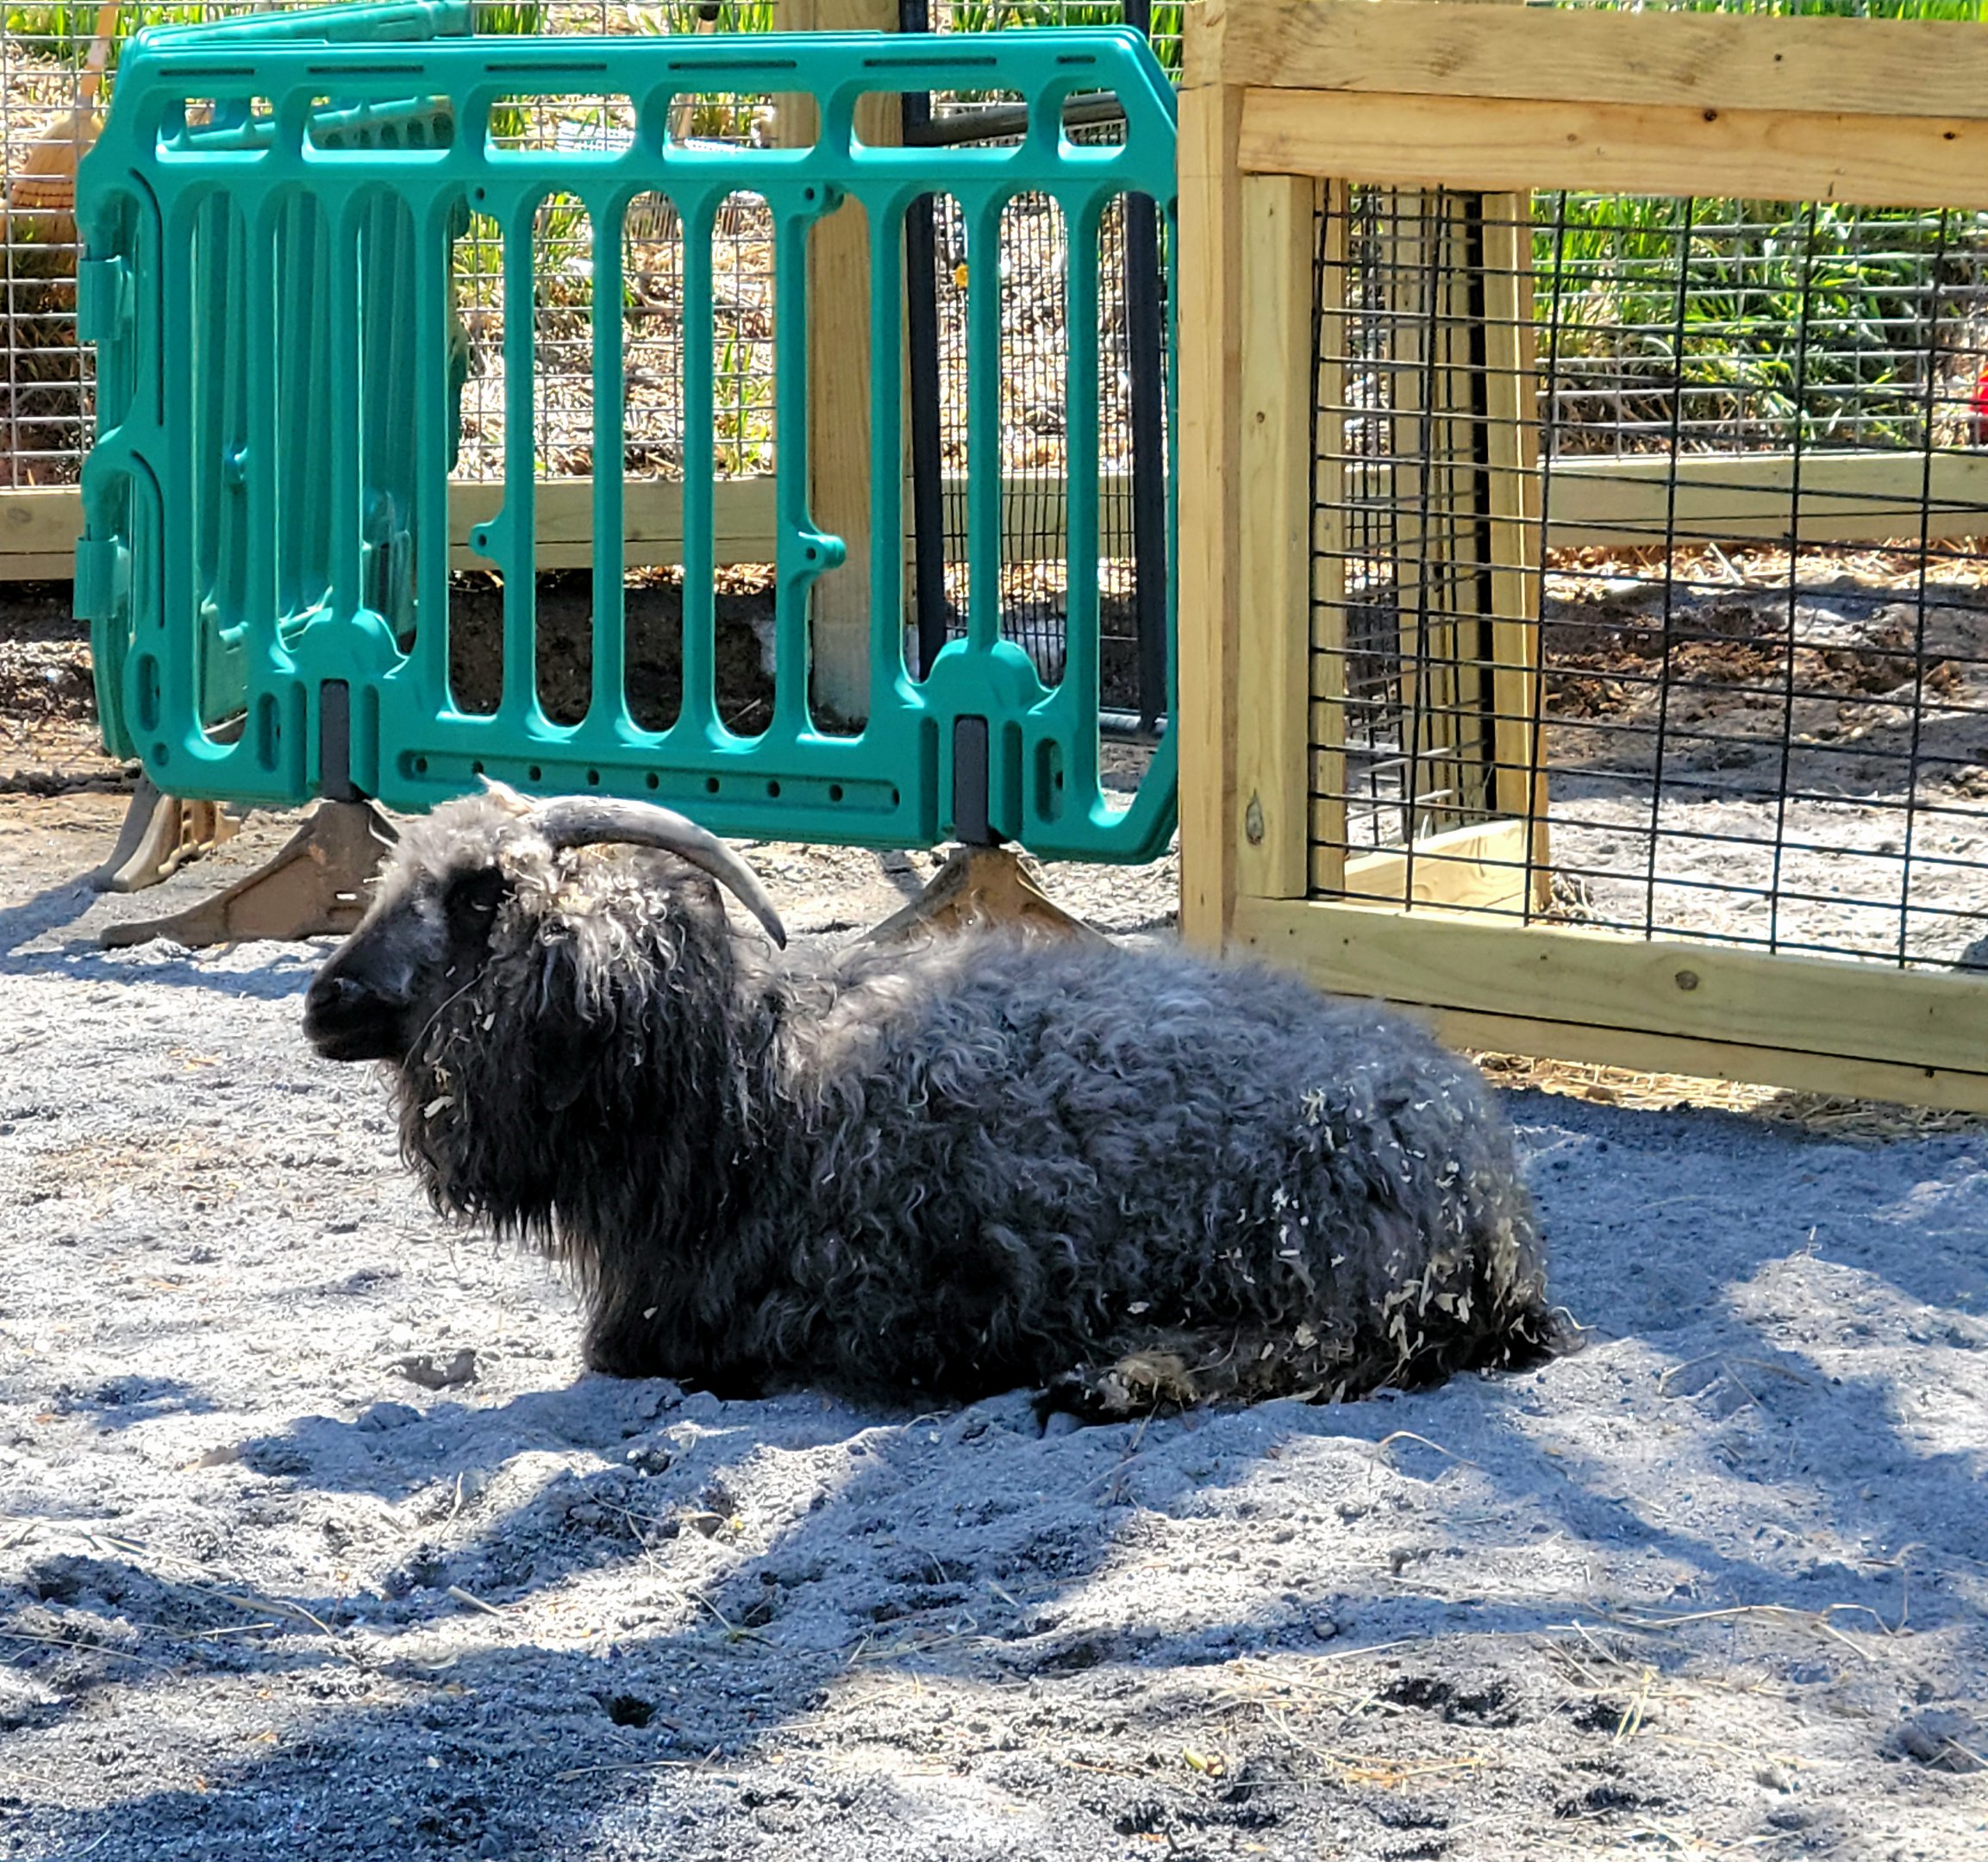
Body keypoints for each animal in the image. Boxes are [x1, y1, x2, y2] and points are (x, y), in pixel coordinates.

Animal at [303, 787, 1557, 1416]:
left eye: (479, 895)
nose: (324, 1002)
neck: (746, 1084)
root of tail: (1490, 1195)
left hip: (1325, 1258)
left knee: (1324, 1345)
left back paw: (1119, 1379)